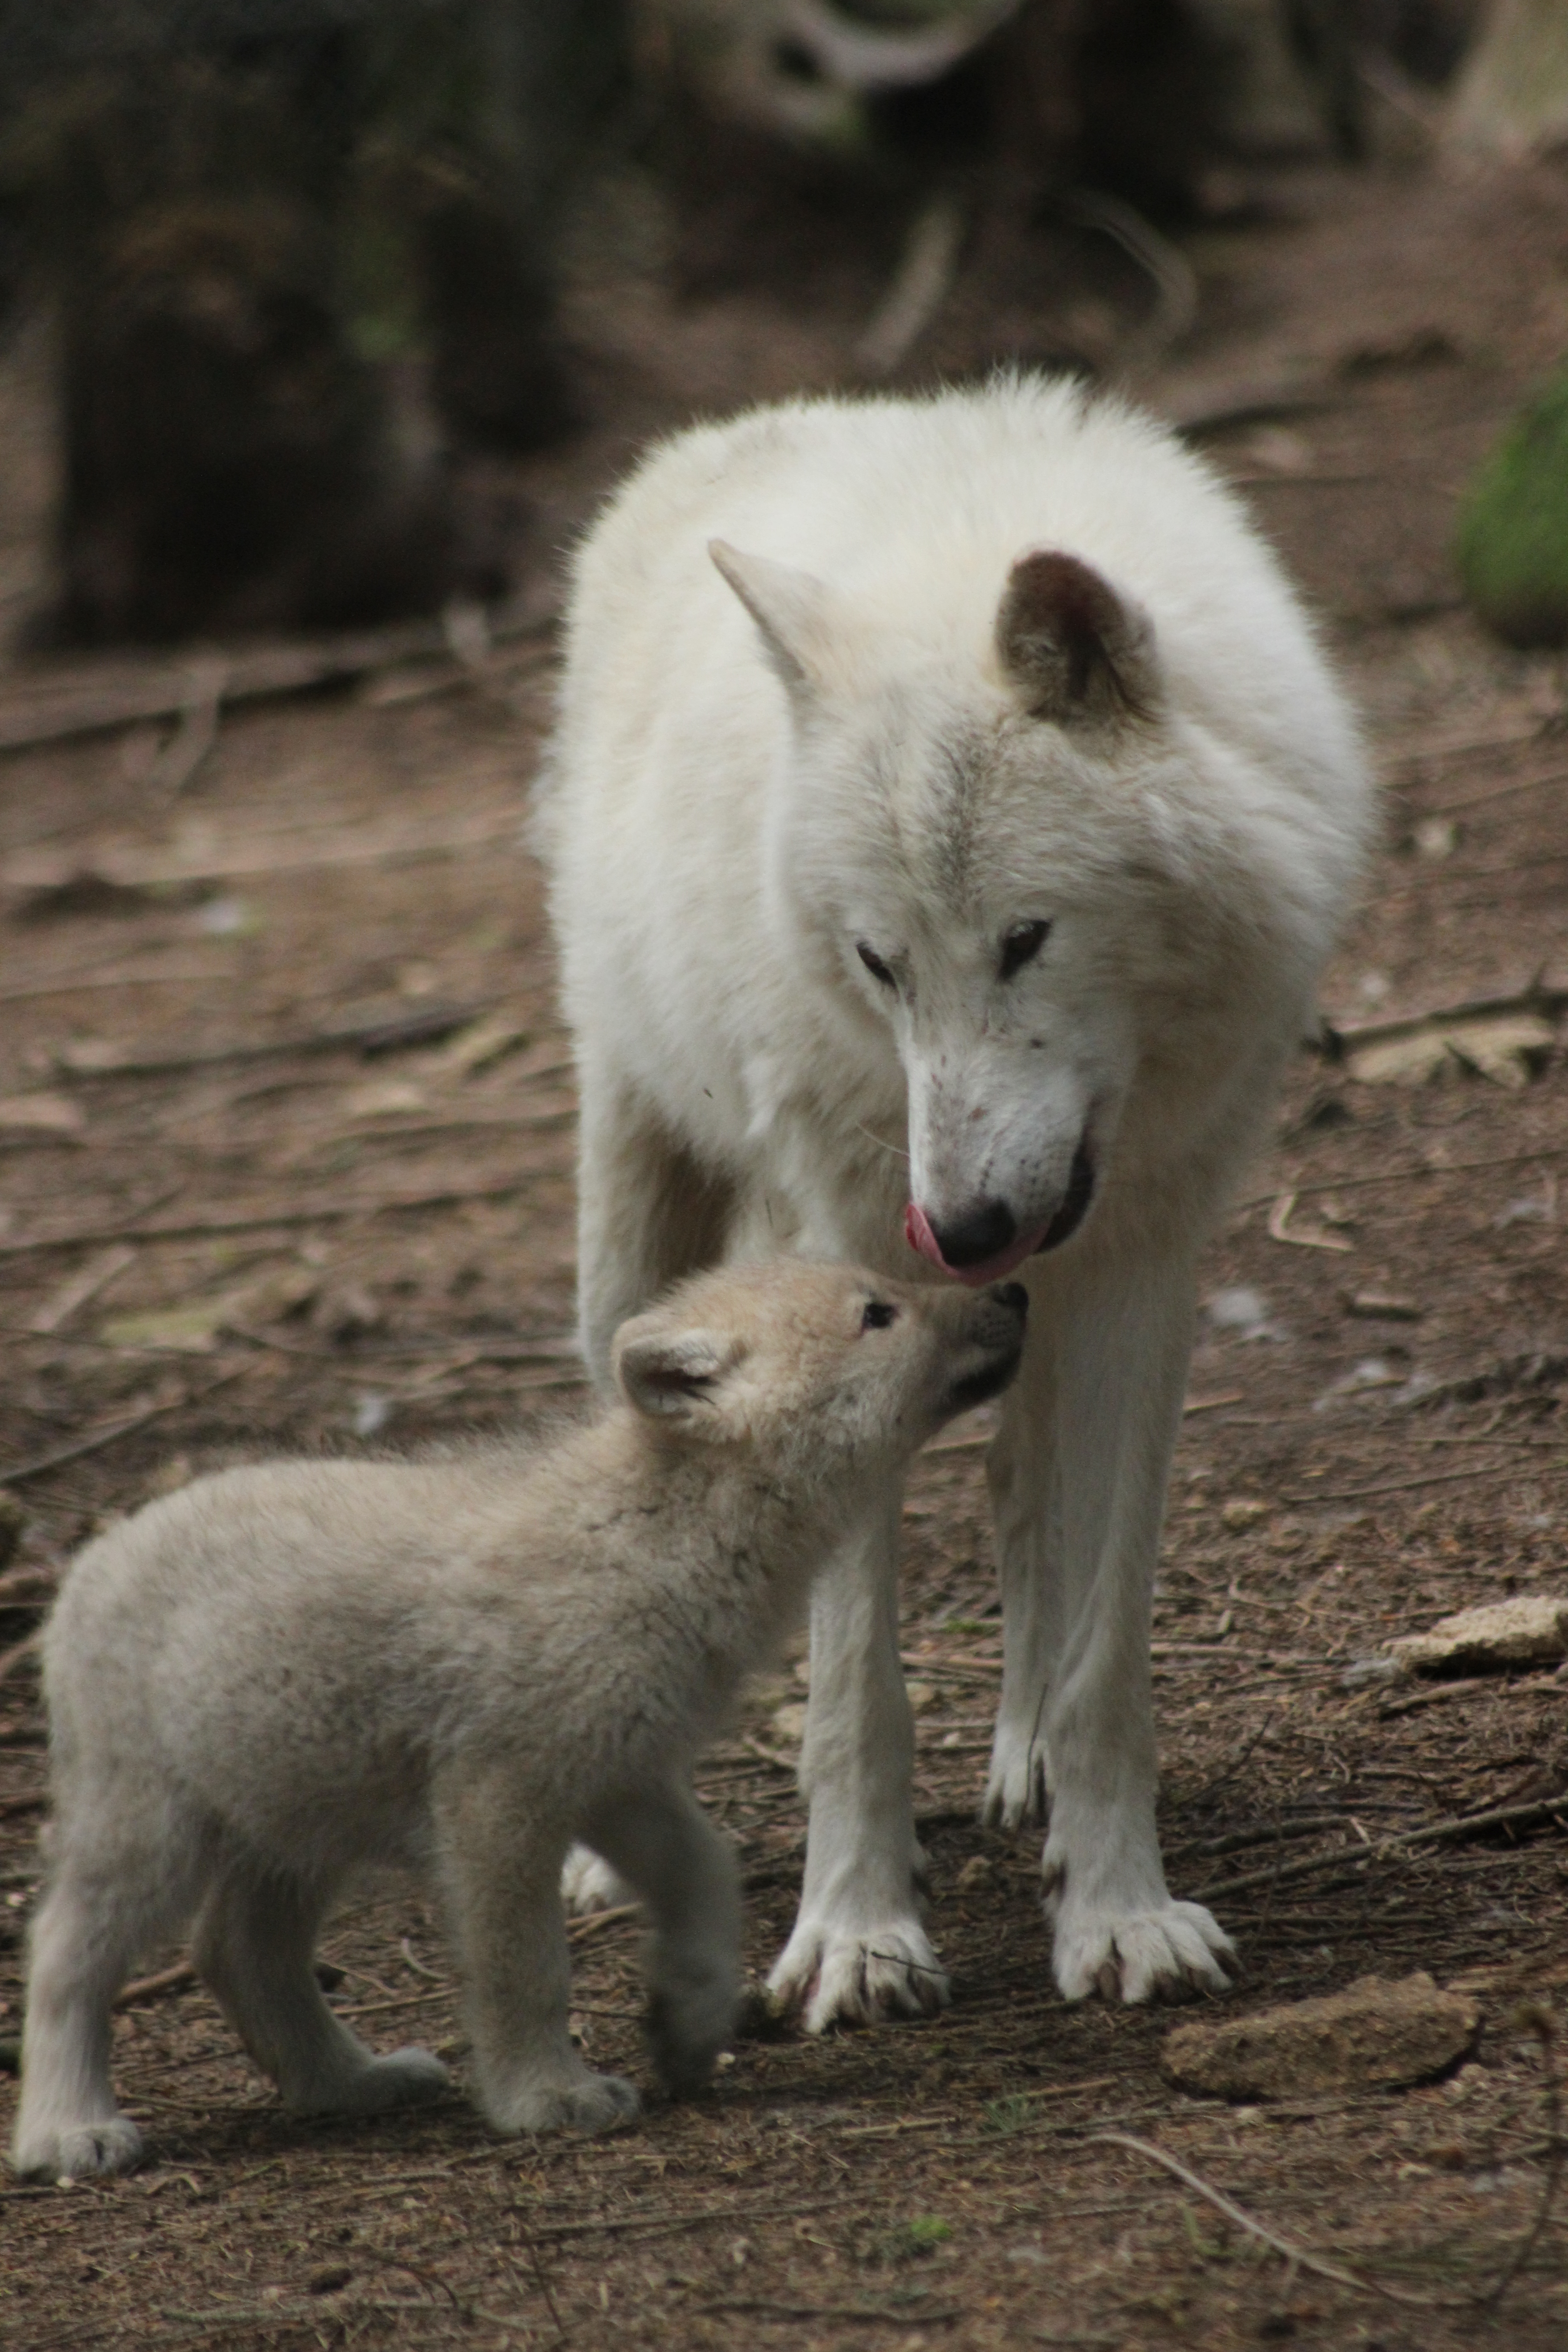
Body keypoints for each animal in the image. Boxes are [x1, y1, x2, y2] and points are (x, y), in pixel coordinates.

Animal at [540, 376, 1372, 2032]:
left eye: (1025, 940)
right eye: (880, 963)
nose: (965, 1231)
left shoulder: (1140, 1264)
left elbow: (1106, 1647)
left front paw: (1116, 1911)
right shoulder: (848, 1254)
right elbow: (853, 1680)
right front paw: (854, 1937)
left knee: (1016, 1492)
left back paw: (1025, 1771)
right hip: (634, 1213)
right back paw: (602, 1848)